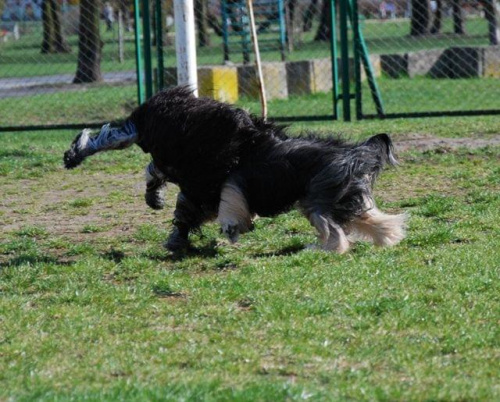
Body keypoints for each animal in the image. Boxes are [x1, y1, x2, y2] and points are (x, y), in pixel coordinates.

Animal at [64, 86, 406, 253]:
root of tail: (358, 154)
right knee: (371, 220)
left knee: (334, 229)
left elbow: (216, 210)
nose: (143, 116)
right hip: (339, 197)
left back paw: (324, 248)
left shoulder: (219, 183)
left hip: (318, 199)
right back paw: (386, 237)